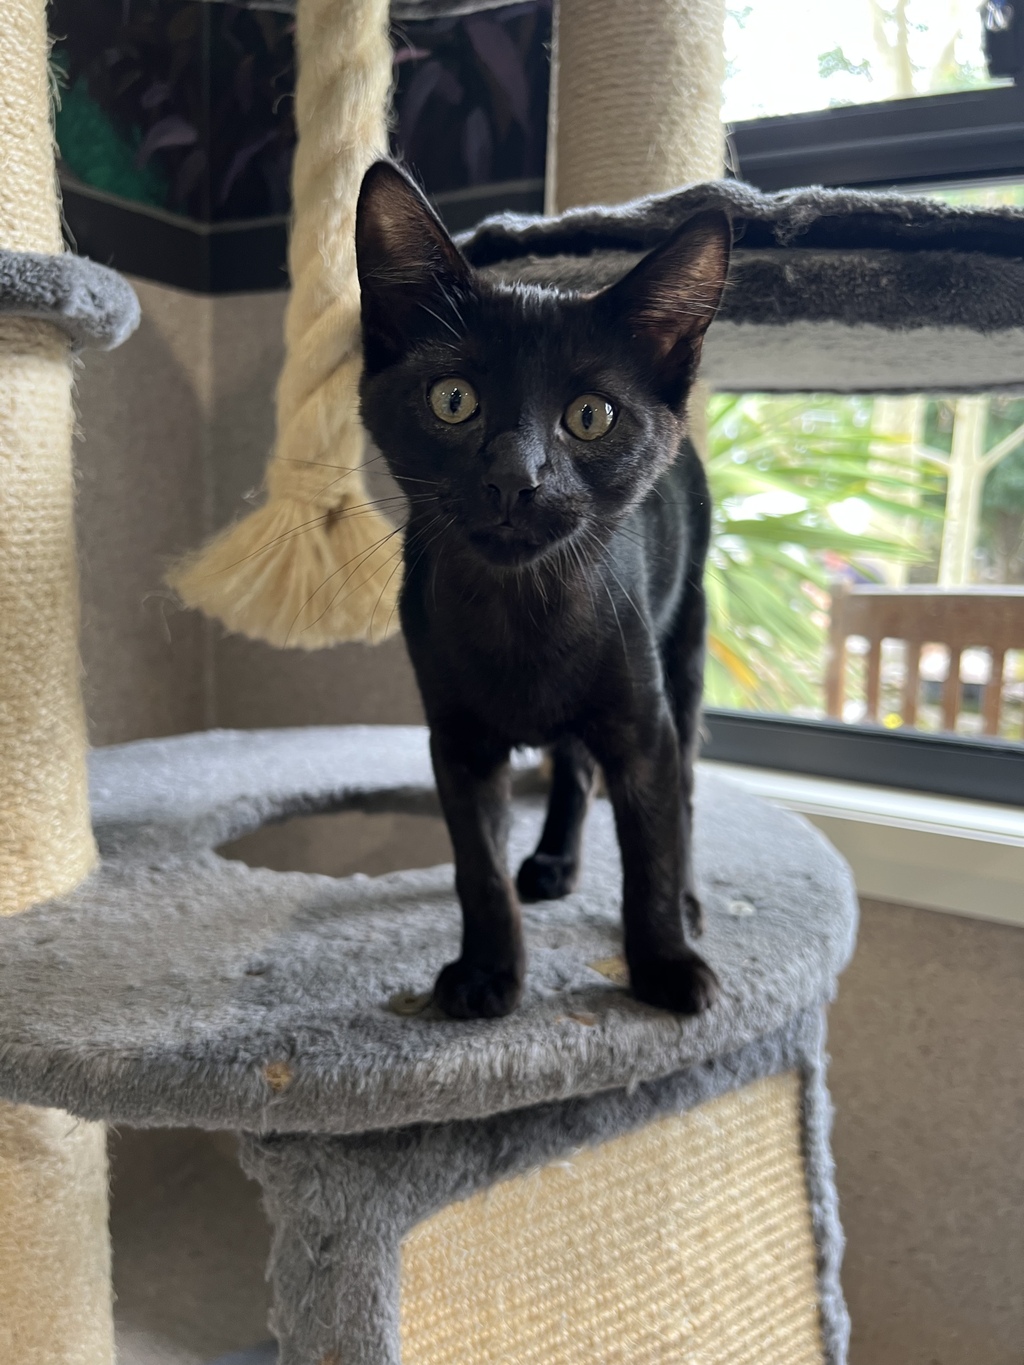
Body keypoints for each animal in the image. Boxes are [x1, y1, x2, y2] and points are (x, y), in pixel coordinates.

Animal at [355, 160, 731, 1020]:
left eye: (591, 416)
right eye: (453, 399)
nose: (513, 478)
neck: (522, 610)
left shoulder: (644, 722)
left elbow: (653, 847)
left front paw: (664, 963)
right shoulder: (456, 740)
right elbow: (478, 868)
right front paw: (488, 971)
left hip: (683, 646)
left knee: (684, 788)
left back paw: (690, 901)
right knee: (572, 764)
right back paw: (555, 860)